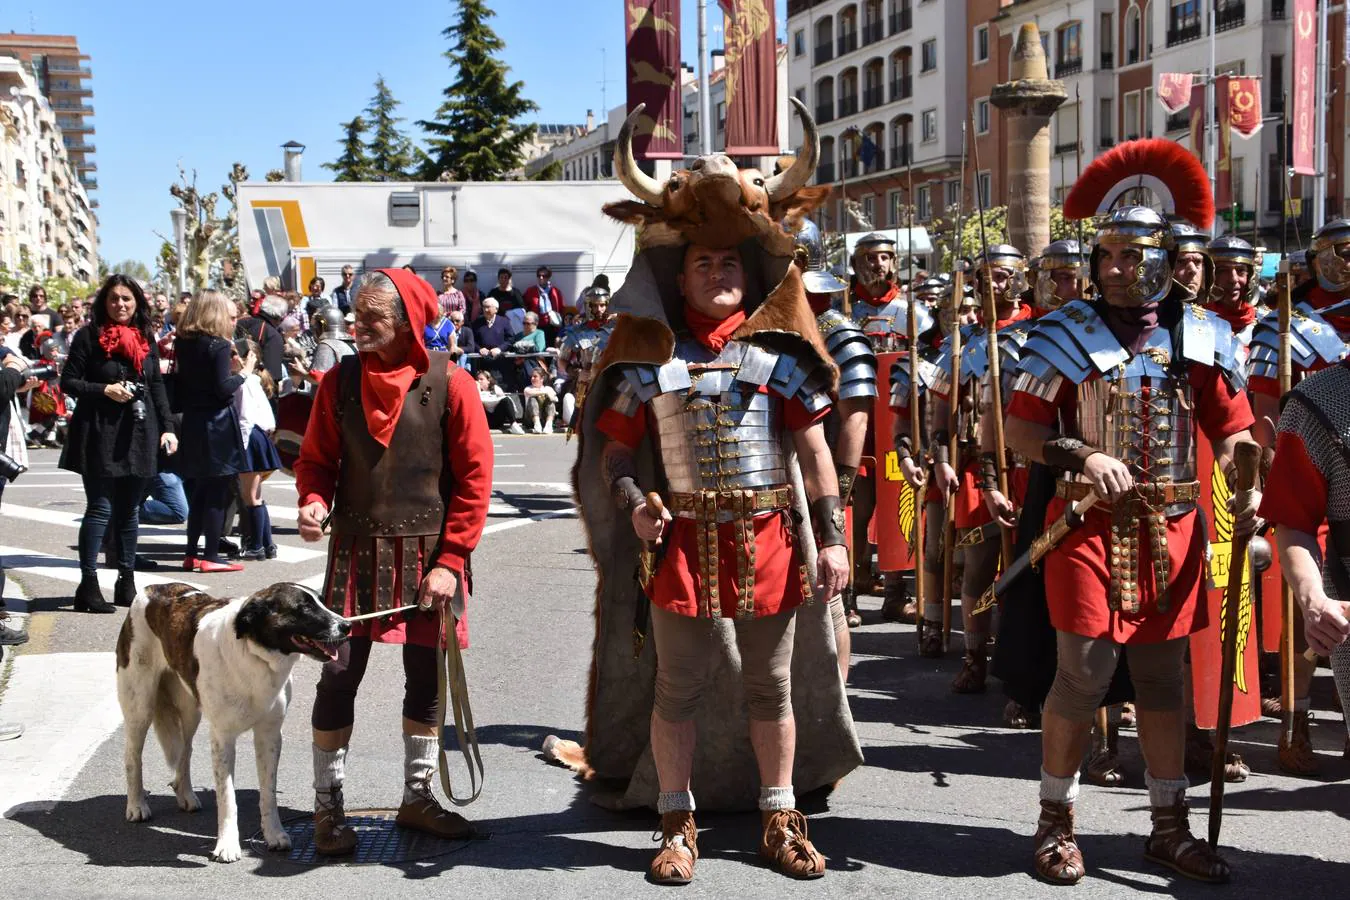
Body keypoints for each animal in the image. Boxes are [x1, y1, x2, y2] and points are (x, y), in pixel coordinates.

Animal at [116, 580, 351, 863]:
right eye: (303, 608)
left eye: (322, 602)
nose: (347, 626)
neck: (255, 657)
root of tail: (153, 587)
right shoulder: (223, 738)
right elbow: (227, 797)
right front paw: (227, 845)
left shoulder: (269, 735)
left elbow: (268, 793)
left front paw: (273, 834)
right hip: (140, 705)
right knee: (132, 756)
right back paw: (137, 805)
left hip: (190, 710)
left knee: (185, 751)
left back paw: (186, 795)